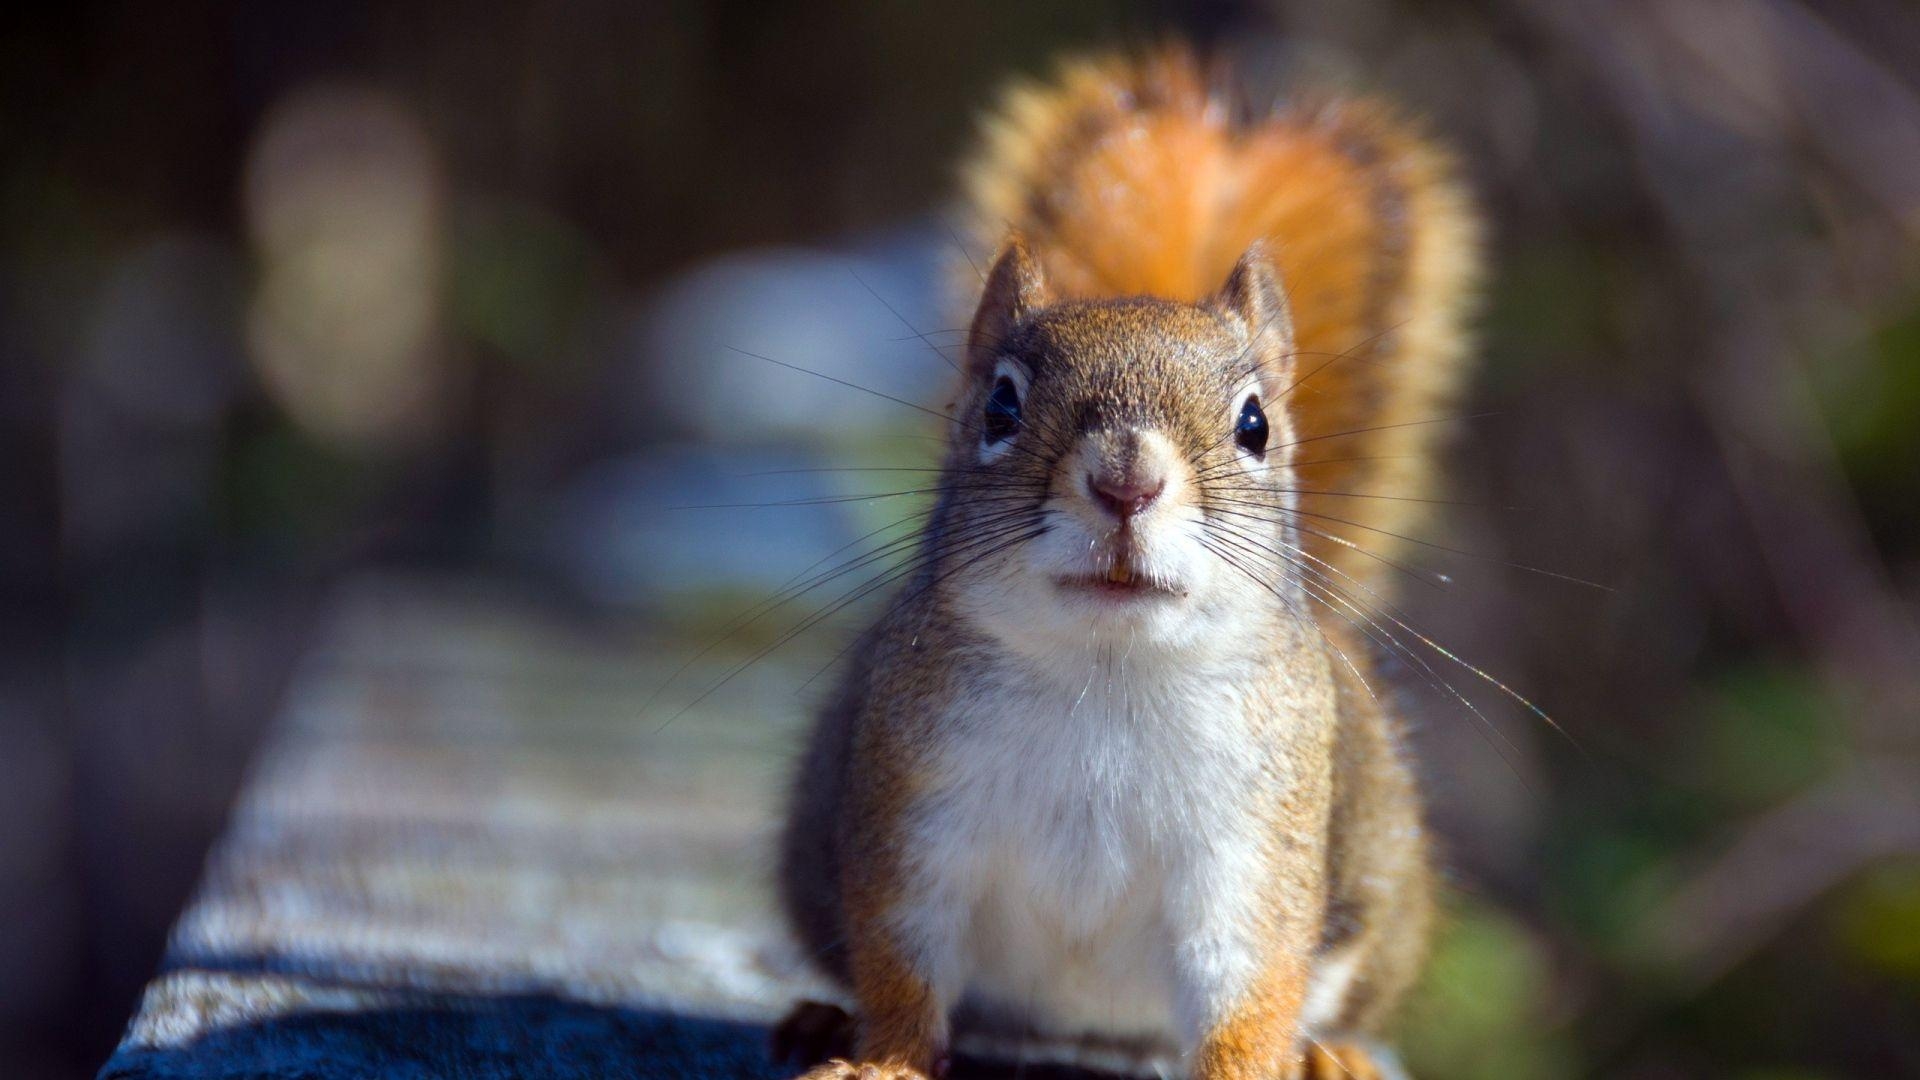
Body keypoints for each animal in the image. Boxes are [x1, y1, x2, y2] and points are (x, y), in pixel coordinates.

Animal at [771, 44, 1474, 1076]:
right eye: (1000, 406)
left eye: (1256, 425)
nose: (1126, 479)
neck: (1110, 672)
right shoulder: (914, 820)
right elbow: (903, 965)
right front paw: (883, 1060)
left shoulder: (1251, 859)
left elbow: (1251, 991)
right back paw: (824, 1019)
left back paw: (1331, 1053)